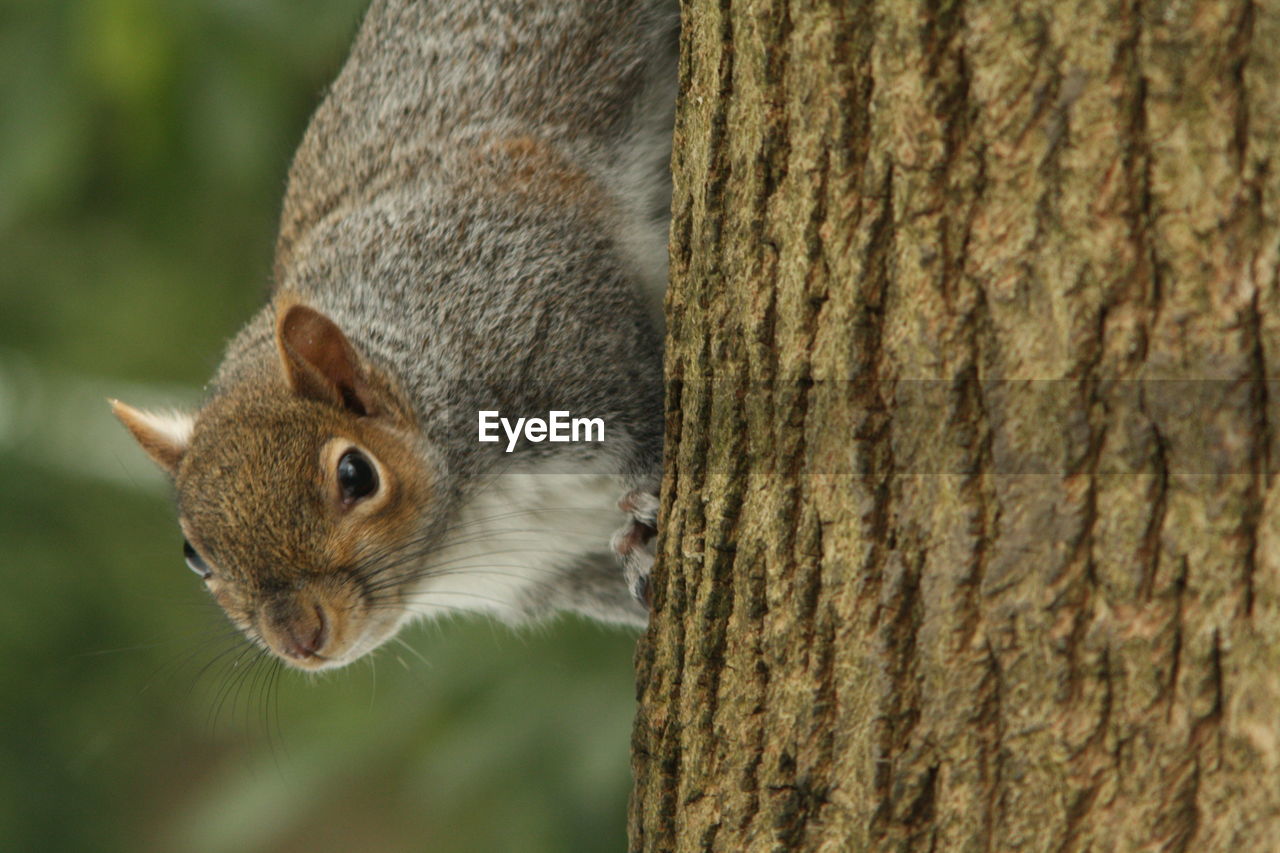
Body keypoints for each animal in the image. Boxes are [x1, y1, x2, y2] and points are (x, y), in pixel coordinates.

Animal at [107, 0, 680, 666]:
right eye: (194, 556)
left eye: (357, 475)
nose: (299, 639)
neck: (462, 526)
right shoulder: (555, 566)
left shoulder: (548, 305)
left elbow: (643, 405)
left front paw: (649, 519)